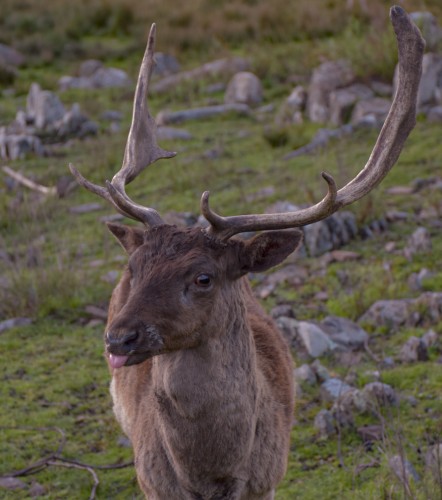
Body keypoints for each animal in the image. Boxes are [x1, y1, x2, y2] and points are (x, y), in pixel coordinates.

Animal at [70, 6, 424, 496]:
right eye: (134, 267)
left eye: (203, 277)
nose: (118, 337)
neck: (212, 475)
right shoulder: (152, 485)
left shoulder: (268, 480)